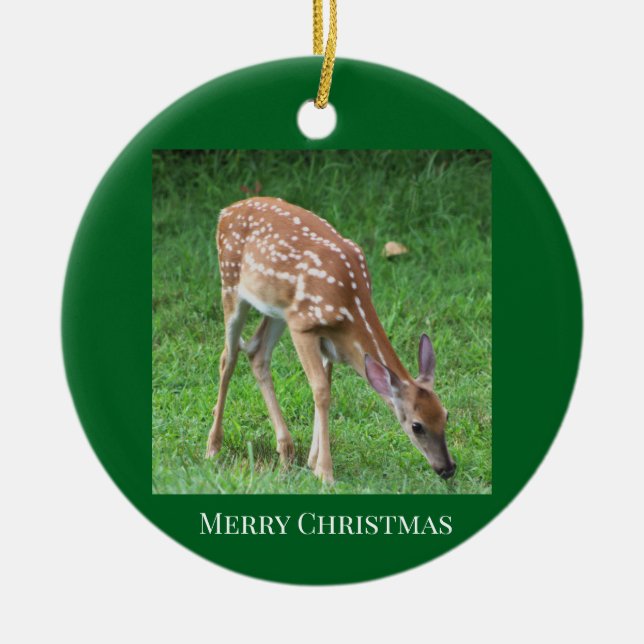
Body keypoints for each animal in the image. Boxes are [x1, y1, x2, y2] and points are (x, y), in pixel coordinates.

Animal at [206, 196, 456, 484]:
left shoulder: (324, 337)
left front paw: (312, 462)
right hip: (231, 283)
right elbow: (321, 390)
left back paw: (286, 450)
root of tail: (226, 211)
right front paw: (325, 472)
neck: (350, 306)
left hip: (277, 309)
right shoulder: (303, 327)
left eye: (446, 415)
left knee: (257, 353)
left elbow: (326, 385)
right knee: (228, 357)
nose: (448, 468)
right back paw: (213, 447)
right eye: (417, 426)